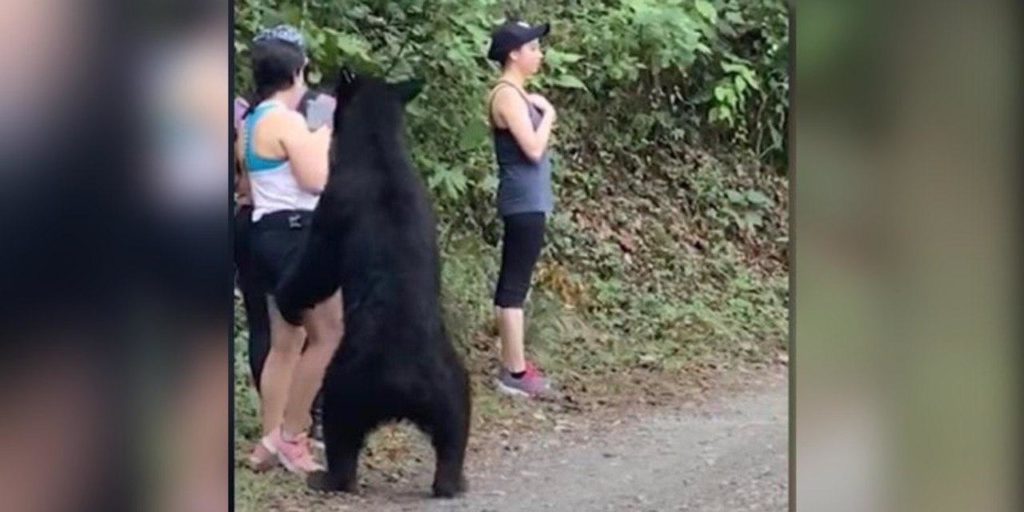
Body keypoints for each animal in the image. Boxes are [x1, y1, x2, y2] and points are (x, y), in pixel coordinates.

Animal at [273, 71, 471, 499]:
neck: (379, 151)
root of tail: (404, 389)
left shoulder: (336, 203)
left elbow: (317, 265)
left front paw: (287, 299)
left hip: (346, 380)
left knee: (340, 429)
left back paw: (327, 477)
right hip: (450, 382)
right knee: (455, 428)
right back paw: (453, 480)